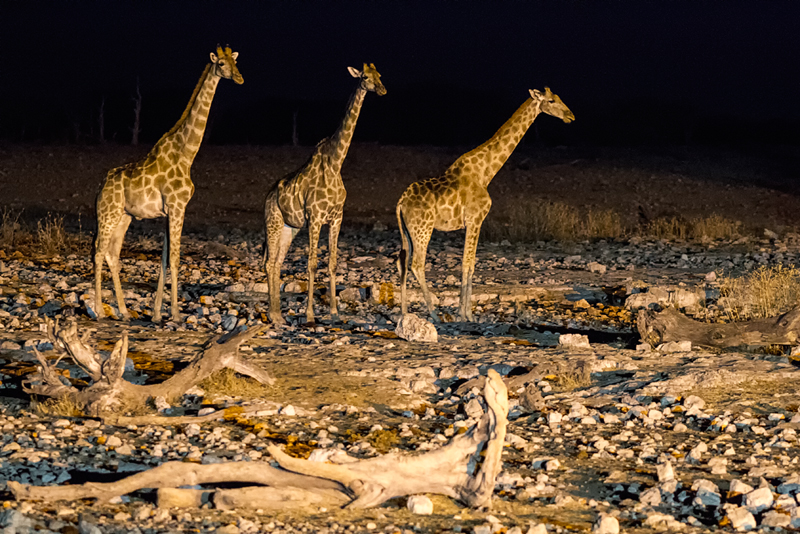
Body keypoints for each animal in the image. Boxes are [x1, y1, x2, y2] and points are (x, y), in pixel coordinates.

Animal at [94, 45, 244, 322]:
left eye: (235, 62)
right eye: (221, 64)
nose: (239, 78)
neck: (186, 154)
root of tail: (101, 187)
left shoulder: (169, 211)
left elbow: (164, 260)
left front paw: (156, 314)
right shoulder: (177, 206)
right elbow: (174, 258)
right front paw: (174, 313)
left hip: (123, 216)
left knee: (112, 254)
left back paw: (123, 311)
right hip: (108, 213)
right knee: (99, 252)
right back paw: (98, 310)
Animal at [264, 60, 386, 324]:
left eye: (379, 75)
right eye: (365, 77)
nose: (382, 90)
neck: (335, 163)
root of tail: (267, 197)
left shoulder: (337, 217)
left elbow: (332, 262)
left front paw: (334, 312)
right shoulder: (315, 217)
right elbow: (311, 263)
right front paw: (310, 315)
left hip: (290, 227)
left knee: (276, 262)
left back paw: (277, 315)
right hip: (273, 221)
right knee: (269, 262)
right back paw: (273, 315)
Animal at [396, 87, 572, 322]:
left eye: (560, 98)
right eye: (551, 101)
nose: (570, 115)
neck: (485, 173)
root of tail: (400, 202)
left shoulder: (476, 223)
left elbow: (471, 264)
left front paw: (467, 313)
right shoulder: (475, 220)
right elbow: (467, 263)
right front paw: (465, 315)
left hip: (407, 230)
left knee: (402, 262)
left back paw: (404, 313)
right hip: (423, 229)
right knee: (417, 264)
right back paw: (433, 314)